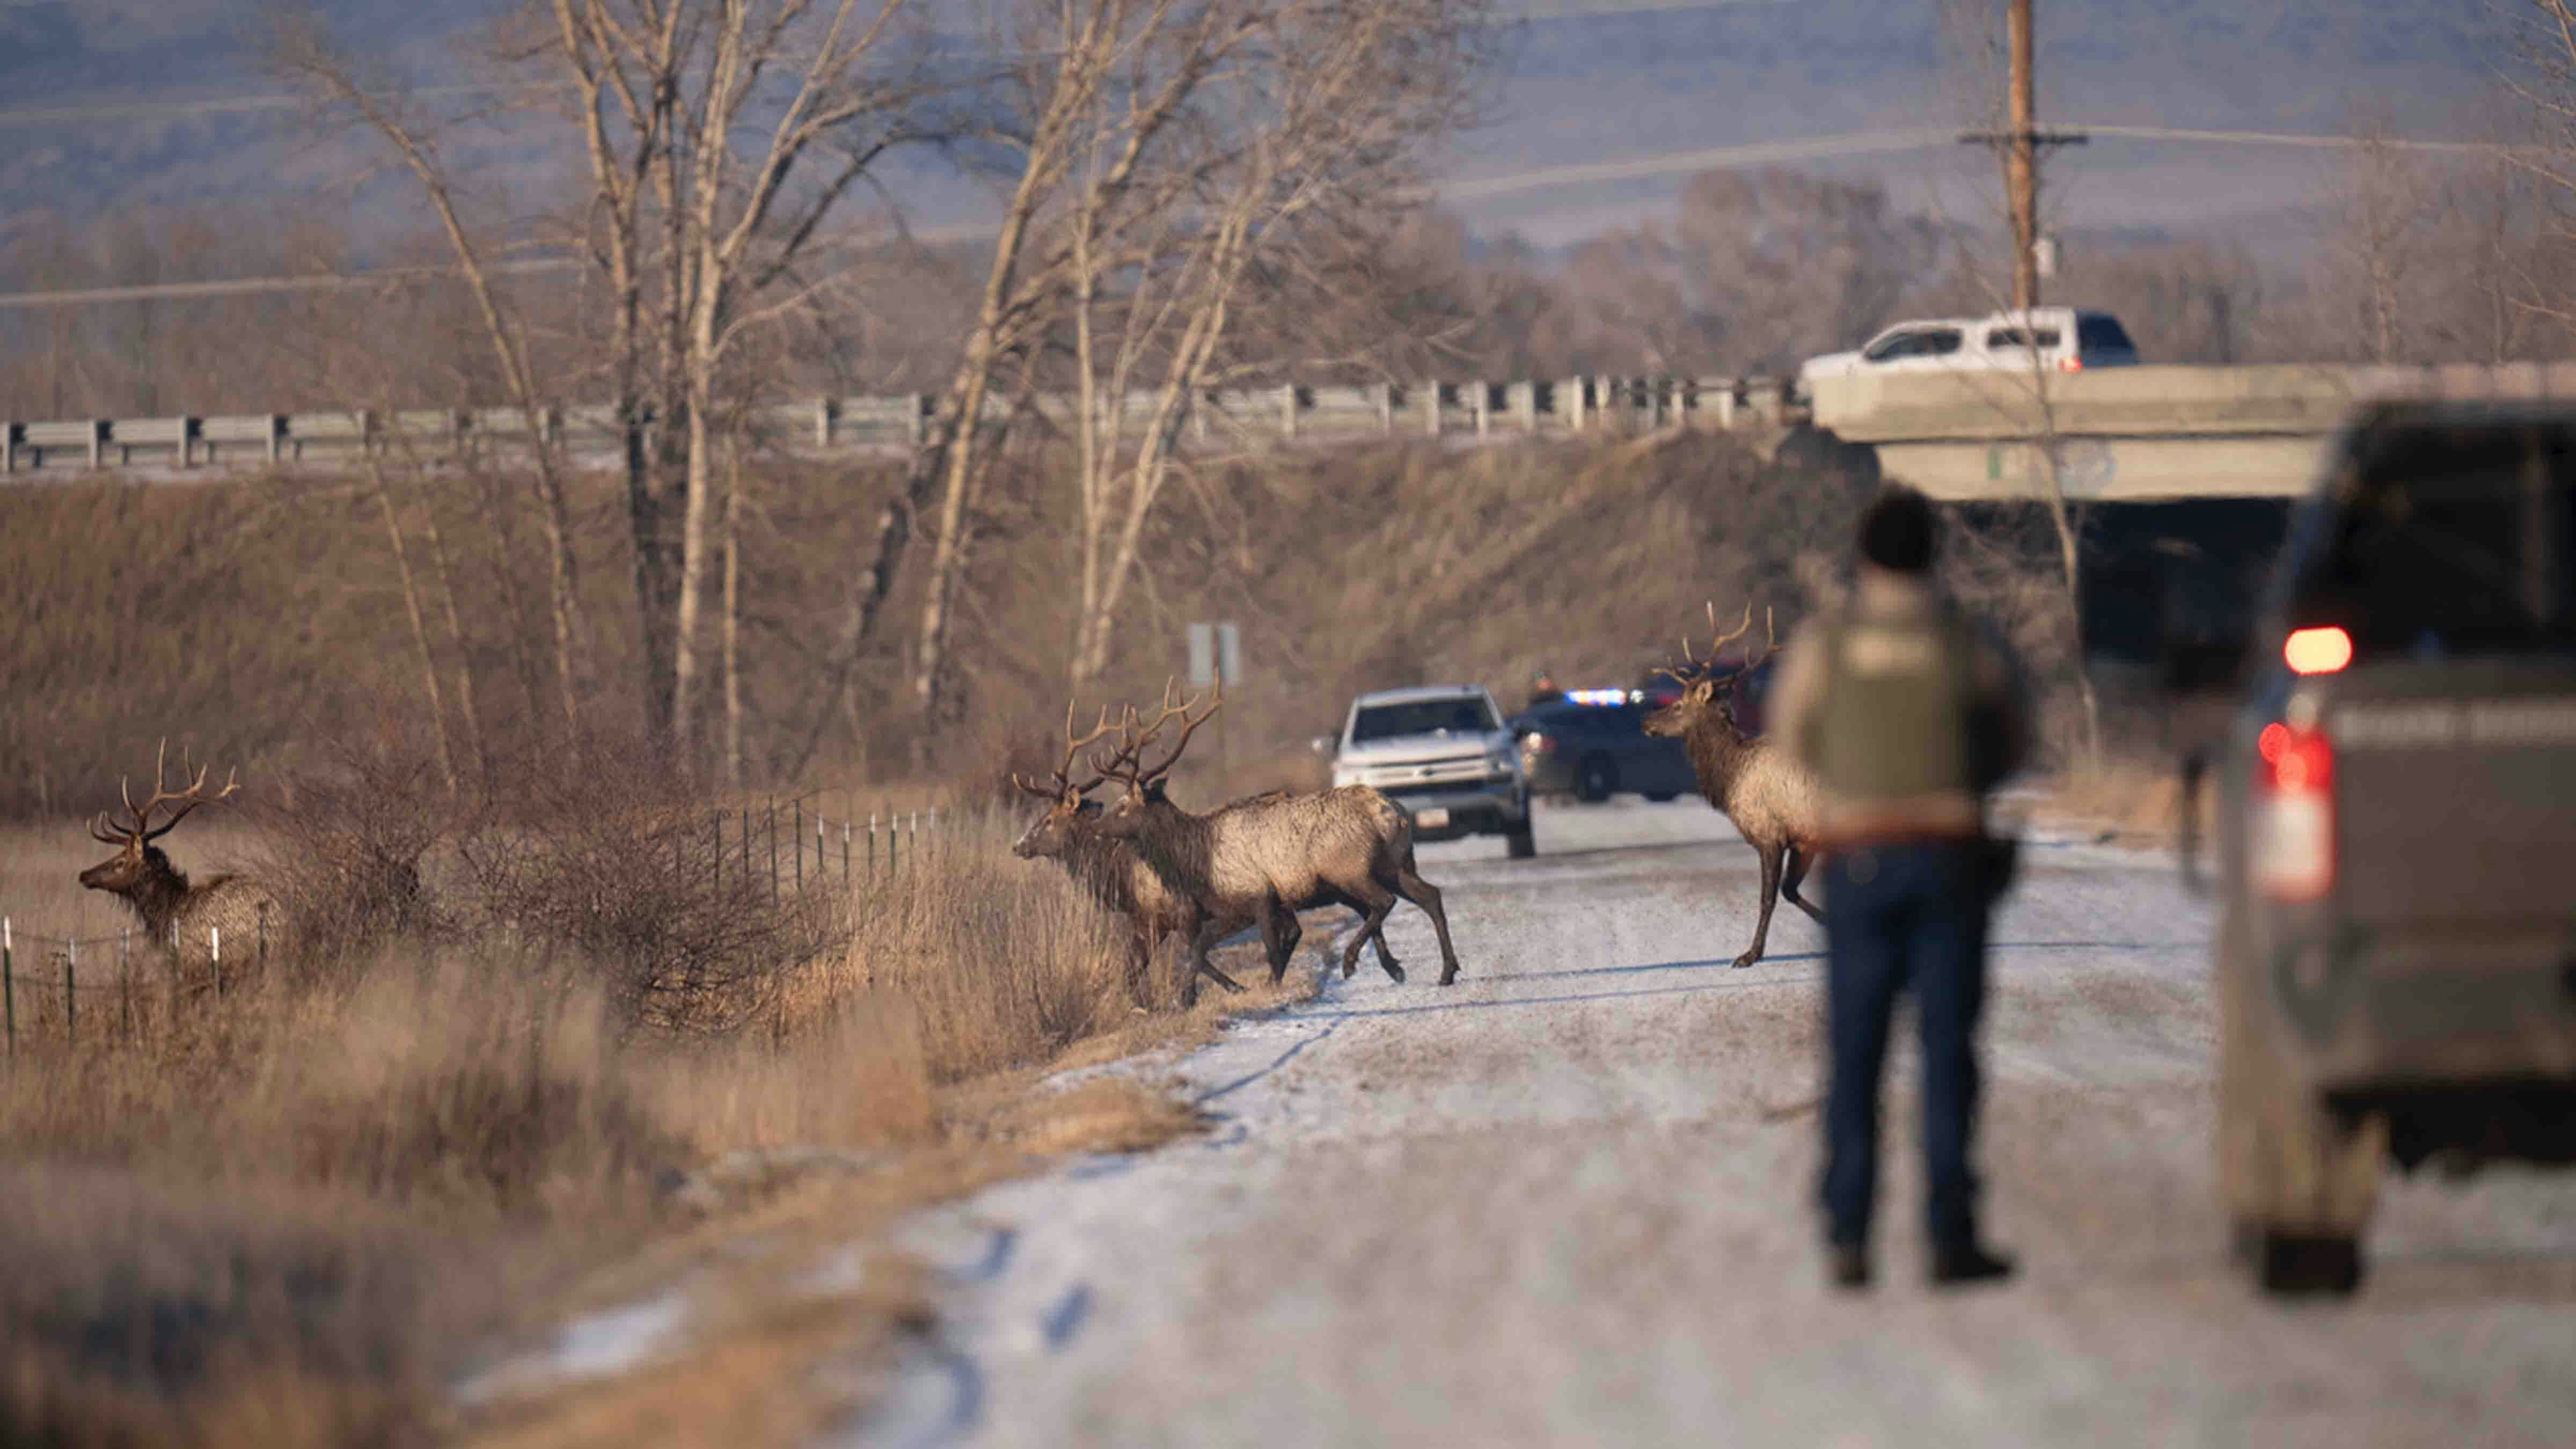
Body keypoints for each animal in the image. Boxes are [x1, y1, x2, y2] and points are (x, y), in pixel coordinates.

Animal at [1087, 681, 1462, 1006]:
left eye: (1123, 807)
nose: (1097, 827)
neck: (1196, 861)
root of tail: (1392, 813)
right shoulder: (1234, 908)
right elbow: (1201, 948)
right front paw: (1190, 996)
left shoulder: (1259, 895)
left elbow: (1267, 947)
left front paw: (1262, 987)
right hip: (1397, 863)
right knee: (1430, 895)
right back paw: (1445, 971)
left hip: (1352, 869)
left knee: (1383, 902)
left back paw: (1352, 960)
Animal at [1642, 602, 1829, 969]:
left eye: (1679, 705)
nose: (1646, 721)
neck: (1730, 776)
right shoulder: (1803, 839)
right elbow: (1790, 891)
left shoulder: (1770, 833)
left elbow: (1769, 899)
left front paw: (1750, 954)